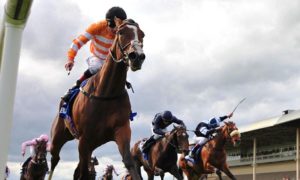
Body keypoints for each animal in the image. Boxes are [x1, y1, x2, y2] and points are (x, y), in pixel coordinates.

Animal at [48, 19, 145, 180]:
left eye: (142, 34)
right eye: (121, 32)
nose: (136, 56)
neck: (107, 93)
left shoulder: (122, 129)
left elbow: (129, 162)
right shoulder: (84, 138)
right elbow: (84, 172)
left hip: (92, 144)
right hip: (59, 138)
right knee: (55, 160)